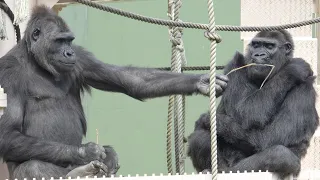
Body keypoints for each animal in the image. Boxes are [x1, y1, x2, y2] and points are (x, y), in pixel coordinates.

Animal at [0, 4, 230, 179]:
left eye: (69, 41)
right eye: (59, 40)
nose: (68, 53)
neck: (37, 61)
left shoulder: (82, 59)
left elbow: (132, 81)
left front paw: (201, 81)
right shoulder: (7, 73)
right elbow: (8, 133)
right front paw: (86, 152)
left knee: (110, 154)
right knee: (33, 167)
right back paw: (81, 169)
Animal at [186, 29, 318, 179]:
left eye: (269, 46)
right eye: (256, 45)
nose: (258, 54)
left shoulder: (303, 88)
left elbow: (271, 135)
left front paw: (209, 119)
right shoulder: (235, 64)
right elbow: (245, 110)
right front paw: (293, 69)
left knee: (280, 155)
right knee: (199, 137)